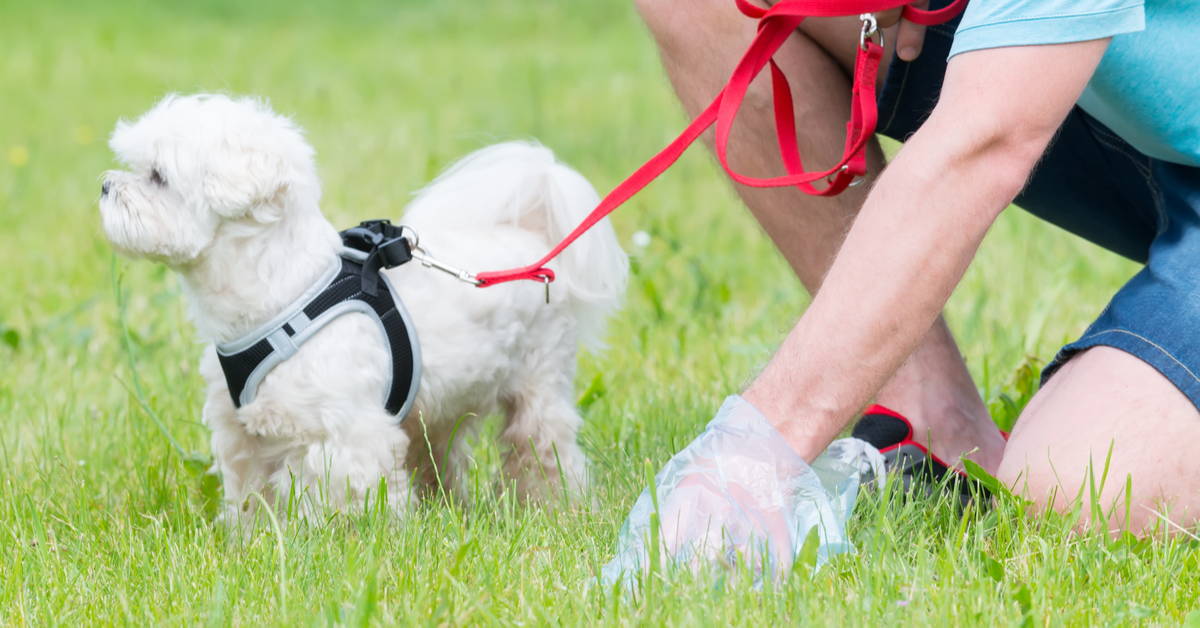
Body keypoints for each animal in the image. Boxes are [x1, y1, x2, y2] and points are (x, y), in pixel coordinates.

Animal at [96, 93, 628, 523]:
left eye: (158, 177)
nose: (104, 185)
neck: (284, 294)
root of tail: (532, 241)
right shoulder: (242, 433)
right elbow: (249, 498)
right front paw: (251, 543)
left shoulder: (346, 435)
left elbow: (342, 500)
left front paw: (337, 546)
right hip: (436, 408)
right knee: (440, 456)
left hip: (539, 384)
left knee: (543, 450)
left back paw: (560, 509)